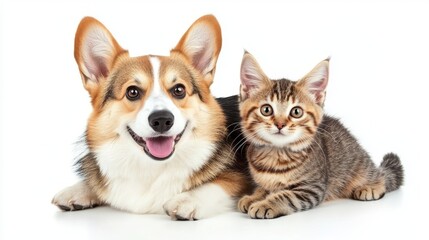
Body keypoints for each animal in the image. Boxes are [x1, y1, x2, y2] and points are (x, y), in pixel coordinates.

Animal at [51, 15, 251, 221]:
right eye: (132, 92)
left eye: (179, 90)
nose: (162, 120)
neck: (150, 166)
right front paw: (78, 189)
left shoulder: (238, 180)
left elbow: (218, 184)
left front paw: (187, 200)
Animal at [237, 52, 402, 219]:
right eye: (266, 110)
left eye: (296, 112)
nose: (280, 124)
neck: (276, 154)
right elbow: (263, 188)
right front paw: (254, 197)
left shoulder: (312, 188)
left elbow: (286, 196)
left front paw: (265, 204)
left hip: (359, 165)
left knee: (381, 176)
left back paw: (371, 187)